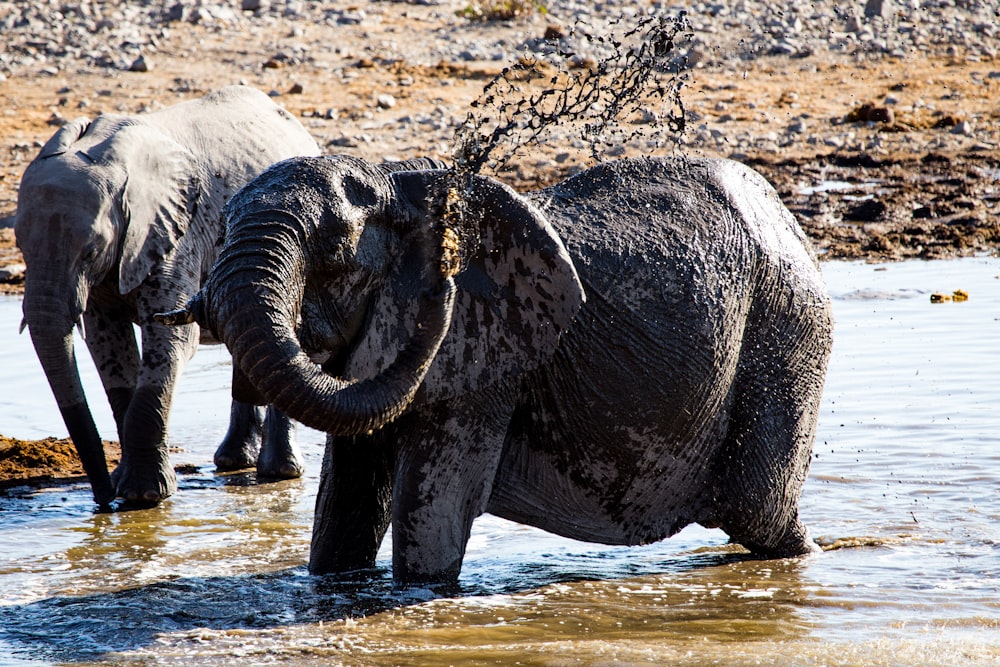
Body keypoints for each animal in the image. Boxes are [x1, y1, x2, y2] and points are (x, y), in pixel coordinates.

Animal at [14, 86, 320, 508]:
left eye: (91, 251)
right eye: (20, 247)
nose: (102, 501)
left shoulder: (176, 233)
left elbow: (170, 339)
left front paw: (144, 497)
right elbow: (108, 345)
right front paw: (126, 488)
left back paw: (280, 473)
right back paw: (232, 462)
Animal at [166, 153, 836, 584]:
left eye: (332, 251)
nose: (441, 285)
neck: (401, 185)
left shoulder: (484, 367)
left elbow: (430, 523)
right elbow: (343, 511)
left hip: (788, 328)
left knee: (759, 513)